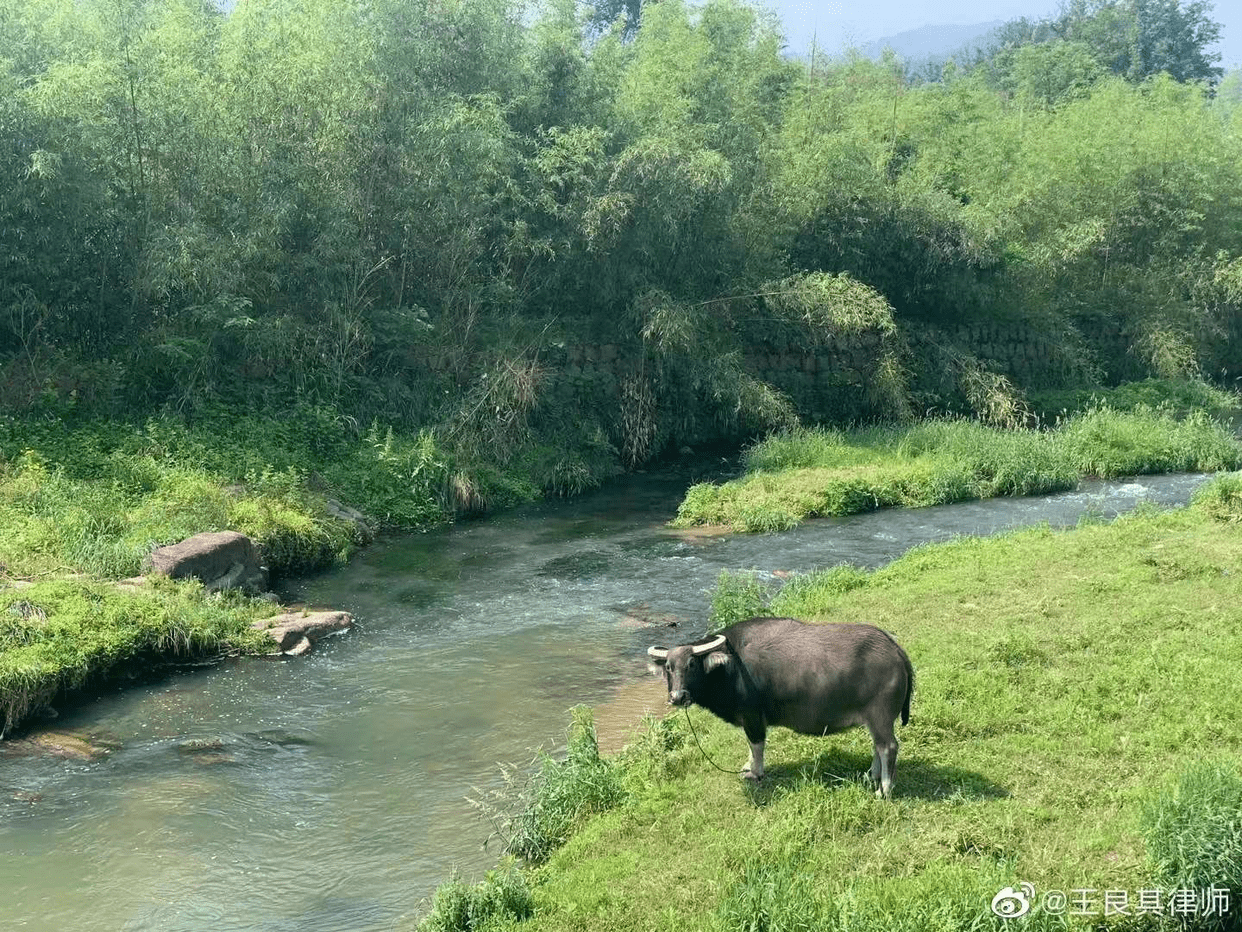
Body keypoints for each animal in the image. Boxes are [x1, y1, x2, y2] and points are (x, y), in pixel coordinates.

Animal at [650, 616, 914, 800]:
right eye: (669, 668)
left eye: (692, 664)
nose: (677, 696)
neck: (732, 666)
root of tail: (894, 649)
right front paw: (747, 766)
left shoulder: (753, 716)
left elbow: (756, 744)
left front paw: (755, 772)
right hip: (874, 719)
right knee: (877, 746)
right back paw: (872, 774)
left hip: (880, 716)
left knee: (888, 747)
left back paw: (884, 789)